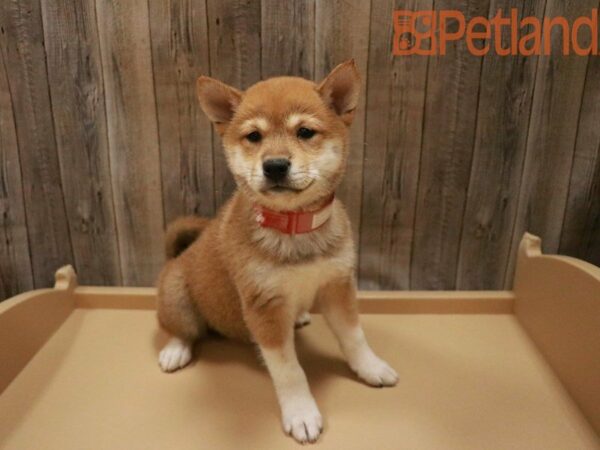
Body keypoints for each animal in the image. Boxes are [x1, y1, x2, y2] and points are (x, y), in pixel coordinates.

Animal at [157, 59, 396, 442]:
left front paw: (370, 367)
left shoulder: (337, 285)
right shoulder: (264, 307)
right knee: (183, 329)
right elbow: (289, 369)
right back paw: (175, 349)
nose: (275, 165)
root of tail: (175, 258)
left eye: (305, 132)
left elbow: (354, 337)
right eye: (254, 136)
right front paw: (301, 412)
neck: (295, 227)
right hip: (178, 296)